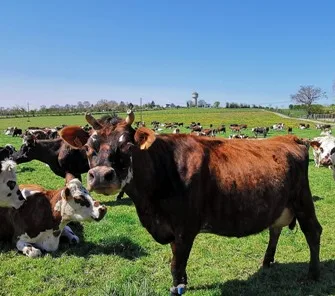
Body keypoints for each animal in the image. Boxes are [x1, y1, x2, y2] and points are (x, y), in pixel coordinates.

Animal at [59, 111, 322, 296]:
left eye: (128, 145)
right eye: (88, 147)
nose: (101, 175)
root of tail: (290, 137)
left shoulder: (185, 227)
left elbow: (177, 263)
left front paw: (177, 287)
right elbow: (178, 259)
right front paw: (183, 282)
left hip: (303, 200)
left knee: (313, 231)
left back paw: (312, 274)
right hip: (279, 204)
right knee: (275, 229)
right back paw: (267, 261)